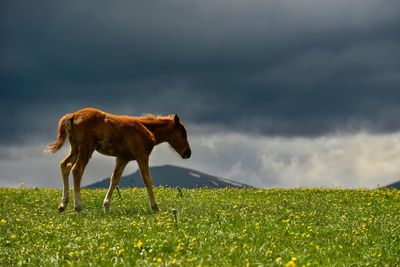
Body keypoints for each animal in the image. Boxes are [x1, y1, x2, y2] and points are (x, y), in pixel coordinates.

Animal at [45, 108, 192, 213]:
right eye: (183, 133)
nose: (188, 153)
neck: (146, 128)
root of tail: (72, 115)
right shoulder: (142, 155)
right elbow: (147, 179)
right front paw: (155, 207)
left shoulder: (123, 158)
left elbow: (114, 179)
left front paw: (106, 207)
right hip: (86, 148)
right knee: (77, 169)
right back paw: (78, 207)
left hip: (75, 148)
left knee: (64, 165)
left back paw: (63, 204)